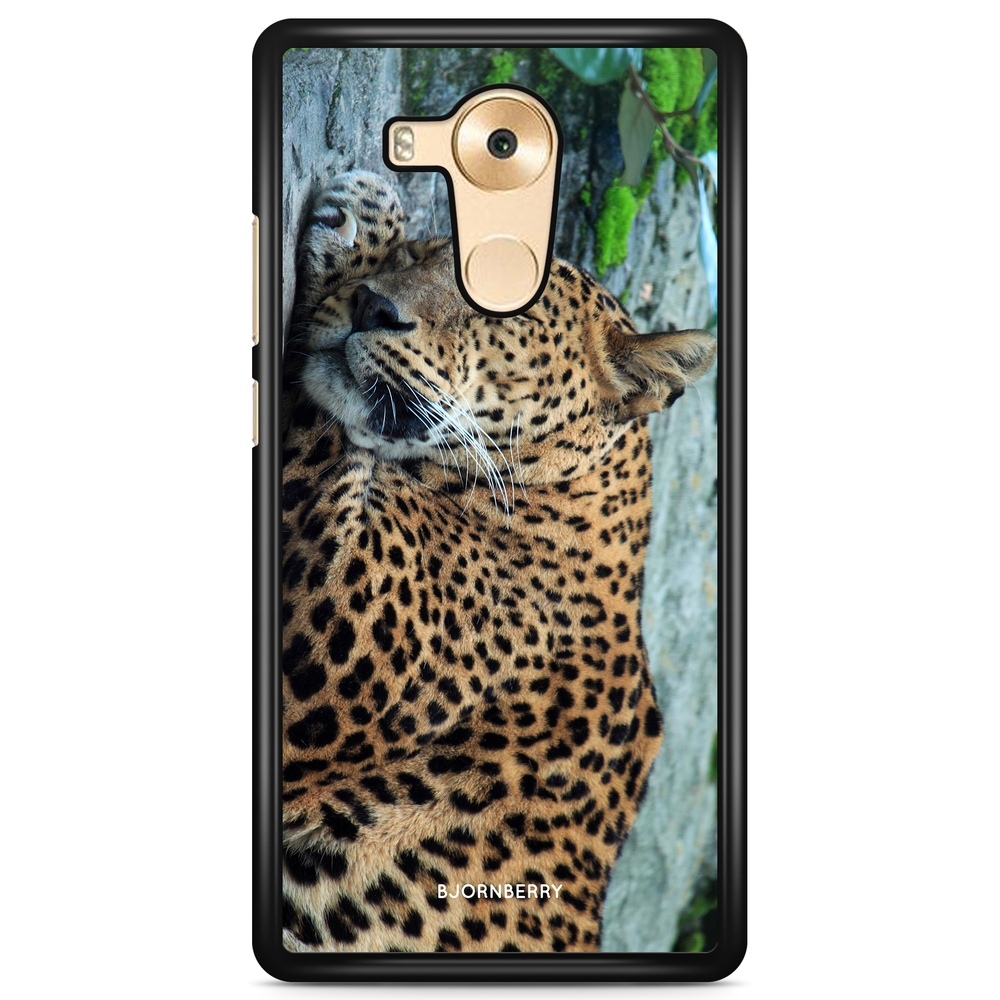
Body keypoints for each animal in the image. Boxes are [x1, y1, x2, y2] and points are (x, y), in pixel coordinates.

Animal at [280, 171, 716, 954]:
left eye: (497, 309)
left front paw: (361, 219)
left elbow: (324, 429)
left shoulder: (335, 617)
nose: (372, 306)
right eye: (427, 253)